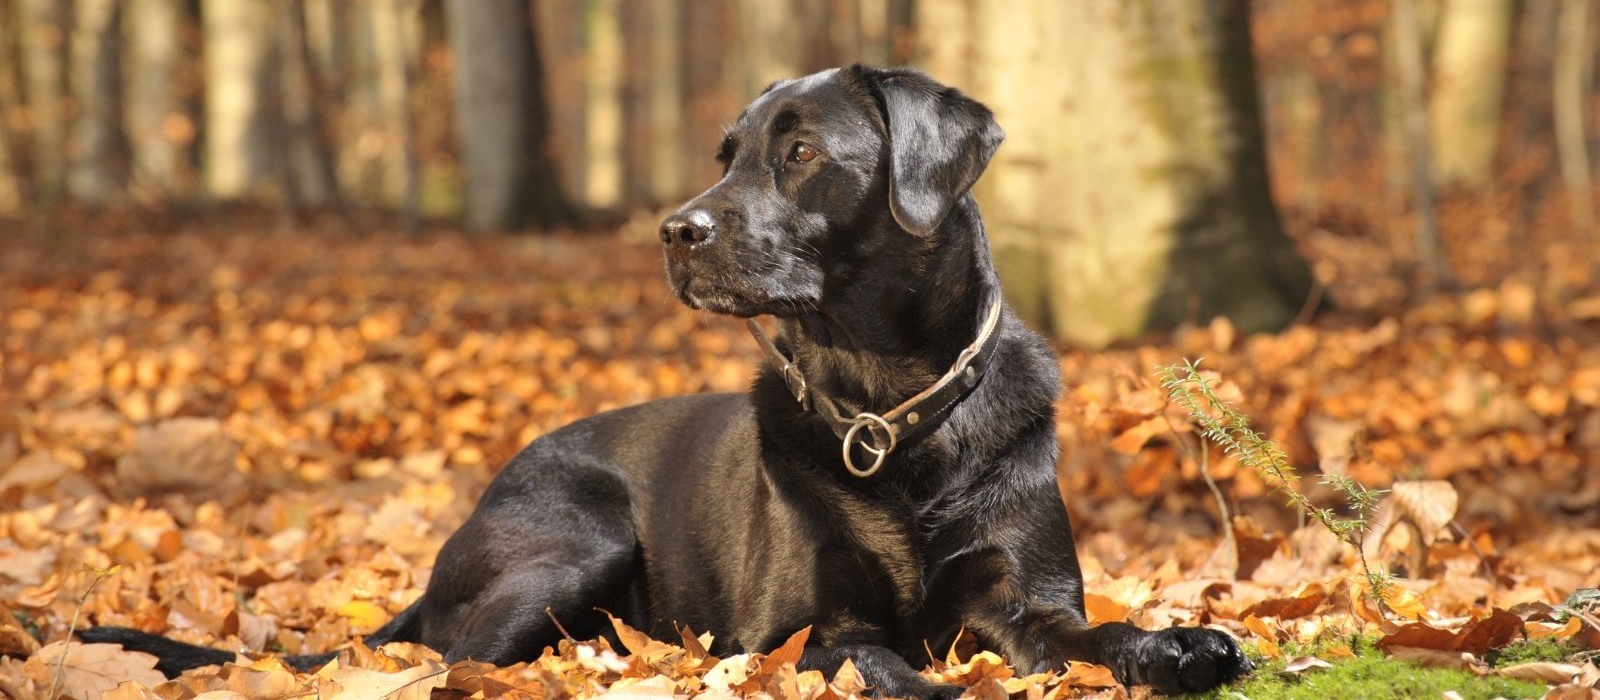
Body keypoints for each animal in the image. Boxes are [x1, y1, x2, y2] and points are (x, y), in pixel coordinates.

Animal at [87, 64, 1248, 693]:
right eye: (726, 152)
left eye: (798, 153)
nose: (673, 231)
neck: (887, 408)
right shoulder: (802, 632)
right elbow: (879, 665)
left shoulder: (1023, 600)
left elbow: (1096, 635)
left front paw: (1178, 643)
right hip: (575, 538)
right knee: (456, 661)